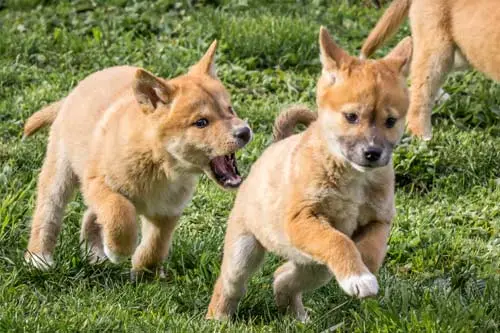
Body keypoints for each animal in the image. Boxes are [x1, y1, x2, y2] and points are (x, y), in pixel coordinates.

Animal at [23, 40, 252, 274]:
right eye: (201, 122)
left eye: (230, 109)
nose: (244, 131)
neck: (161, 166)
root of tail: (73, 94)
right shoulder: (100, 184)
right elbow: (120, 213)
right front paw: (118, 250)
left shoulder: (167, 211)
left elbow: (155, 246)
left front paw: (145, 274)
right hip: (59, 173)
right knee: (47, 215)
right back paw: (39, 258)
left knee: (89, 216)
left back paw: (95, 254)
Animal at [205, 28, 412, 322]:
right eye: (351, 116)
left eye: (391, 121)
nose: (372, 152)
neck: (352, 177)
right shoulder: (302, 217)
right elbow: (338, 240)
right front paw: (359, 275)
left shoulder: (378, 220)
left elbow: (369, 252)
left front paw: (360, 271)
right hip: (242, 253)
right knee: (230, 284)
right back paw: (219, 317)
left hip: (315, 269)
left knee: (282, 277)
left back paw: (295, 316)